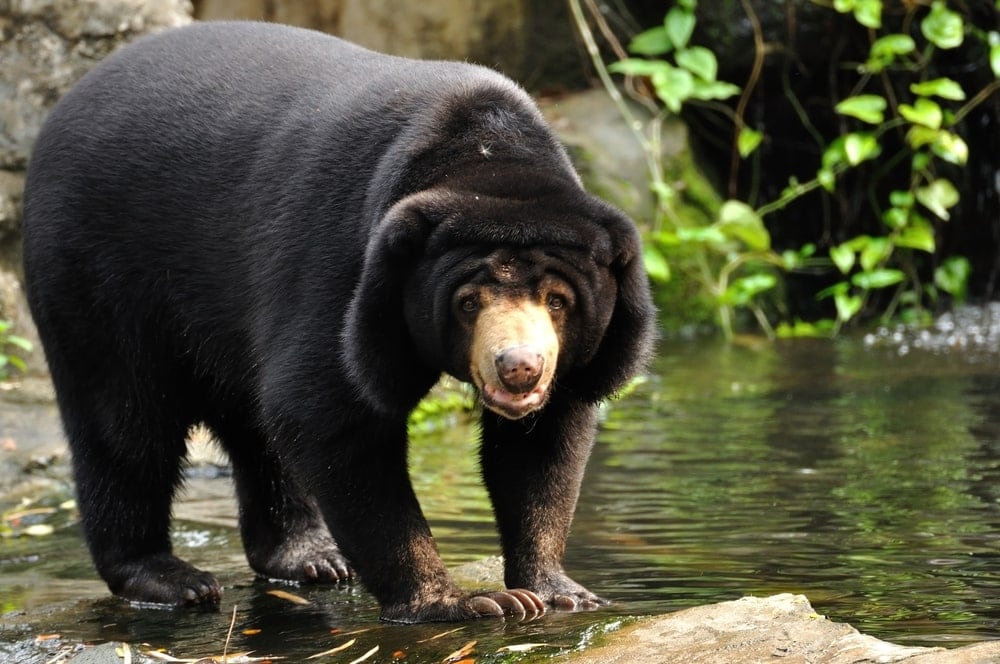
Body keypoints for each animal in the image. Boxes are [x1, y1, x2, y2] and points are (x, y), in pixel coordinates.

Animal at [22, 21, 655, 623]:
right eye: (468, 302)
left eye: (558, 300)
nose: (519, 368)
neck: (480, 156)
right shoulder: (343, 264)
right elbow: (331, 413)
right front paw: (460, 602)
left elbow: (541, 445)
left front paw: (557, 590)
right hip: (94, 270)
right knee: (125, 422)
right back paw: (168, 578)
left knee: (255, 427)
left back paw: (310, 556)